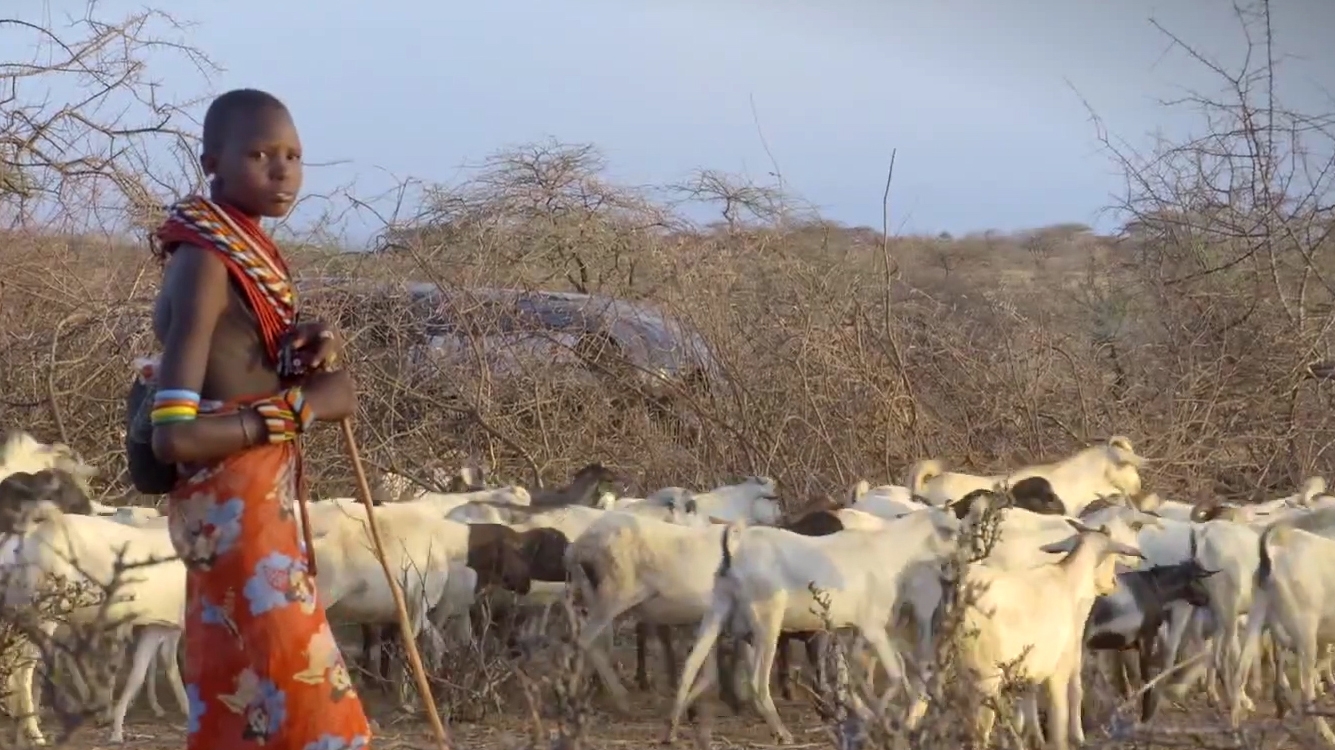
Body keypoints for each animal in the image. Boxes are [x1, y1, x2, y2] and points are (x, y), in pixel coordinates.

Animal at [0, 501, 188, 741]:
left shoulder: (159, 624)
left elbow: (144, 670)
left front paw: (117, 728)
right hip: (44, 613)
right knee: (25, 669)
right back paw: (36, 732)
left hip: (20, 611)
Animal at [664, 504, 961, 736]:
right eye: (953, 531)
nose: (961, 563)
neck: (888, 551)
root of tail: (735, 550)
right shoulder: (872, 627)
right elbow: (895, 672)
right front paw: (884, 715)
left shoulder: (849, 629)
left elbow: (856, 673)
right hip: (768, 621)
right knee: (758, 680)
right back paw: (781, 732)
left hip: (717, 610)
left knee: (689, 666)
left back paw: (673, 728)